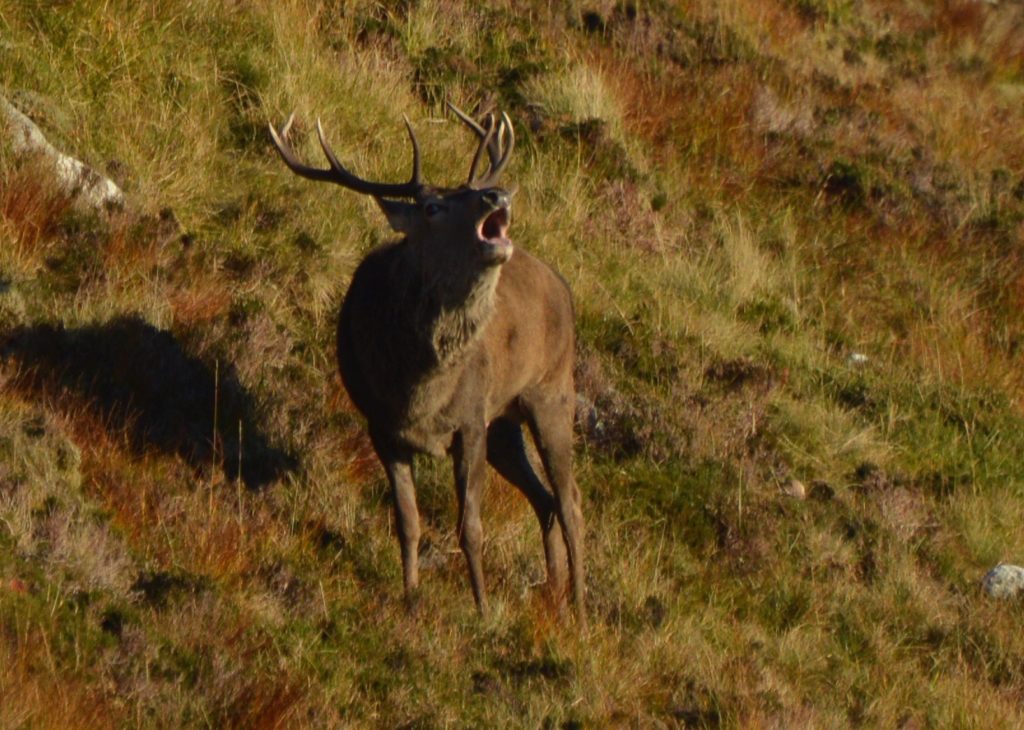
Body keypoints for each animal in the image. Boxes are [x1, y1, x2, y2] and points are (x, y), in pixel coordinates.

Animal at [268, 105, 589, 622]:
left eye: (467, 193)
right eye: (433, 208)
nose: (496, 193)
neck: (417, 391)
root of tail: (563, 285)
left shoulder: (470, 420)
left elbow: (470, 526)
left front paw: (482, 610)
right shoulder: (382, 427)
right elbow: (408, 522)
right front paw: (411, 600)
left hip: (552, 391)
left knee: (570, 500)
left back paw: (579, 607)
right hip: (505, 422)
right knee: (544, 500)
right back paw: (556, 596)